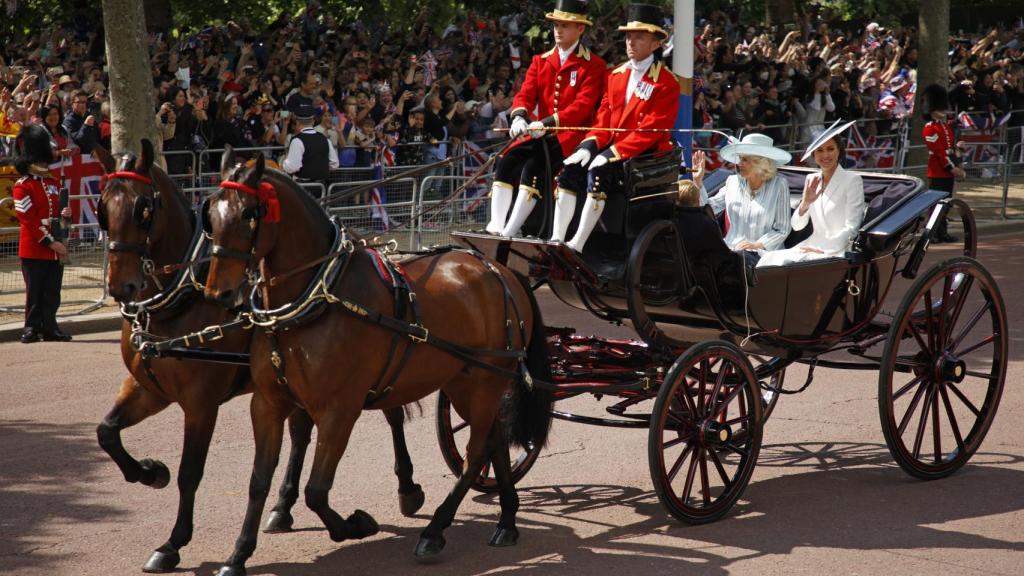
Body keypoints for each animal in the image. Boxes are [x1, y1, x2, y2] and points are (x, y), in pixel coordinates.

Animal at [90, 141, 421, 569]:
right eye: (102, 207)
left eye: (143, 209)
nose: (120, 287)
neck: (182, 299)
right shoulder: (148, 387)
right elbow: (107, 432)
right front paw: (149, 472)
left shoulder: (201, 402)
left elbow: (189, 472)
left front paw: (174, 542)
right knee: (301, 433)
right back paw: (282, 507)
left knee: (392, 414)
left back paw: (408, 487)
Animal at [203, 150, 557, 569]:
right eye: (211, 215)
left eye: (249, 214)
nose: (219, 294)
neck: (316, 298)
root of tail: (501, 270)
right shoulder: (268, 404)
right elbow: (258, 482)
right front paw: (239, 553)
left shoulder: (339, 409)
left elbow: (317, 490)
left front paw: (356, 525)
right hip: (466, 382)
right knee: (494, 441)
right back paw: (506, 521)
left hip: (486, 382)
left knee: (474, 454)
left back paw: (435, 530)